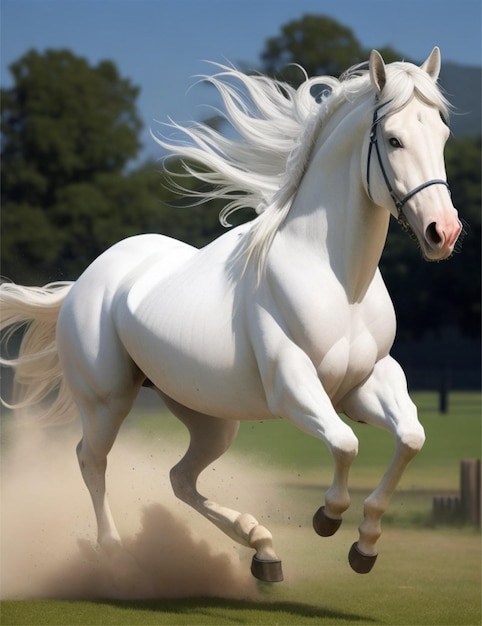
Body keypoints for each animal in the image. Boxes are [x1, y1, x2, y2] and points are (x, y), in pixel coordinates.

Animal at [1, 48, 466, 580]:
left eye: (442, 135)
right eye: (393, 139)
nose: (443, 232)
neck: (339, 282)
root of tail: (82, 284)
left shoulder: (366, 383)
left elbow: (410, 437)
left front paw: (365, 545)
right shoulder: (294, 389)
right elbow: (346, 444)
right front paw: (328, 518)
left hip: (208, 417)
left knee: (180, 478)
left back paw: (263, 549)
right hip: (106, 401)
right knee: (91, 462)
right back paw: (115, 555)